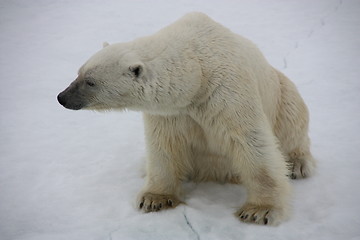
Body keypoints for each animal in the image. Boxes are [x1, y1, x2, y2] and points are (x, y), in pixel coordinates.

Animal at [56, 12, 316, 225]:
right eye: (78, 72)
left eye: (91, 81)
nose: (62, 97)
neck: (197, 69)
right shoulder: (172, 111)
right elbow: (163, 145)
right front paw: (154, 198)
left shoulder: (227, 91)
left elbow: (251, 141)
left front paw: (259, 211)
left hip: (282, 91)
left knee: (293, 118)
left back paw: (298, 164)